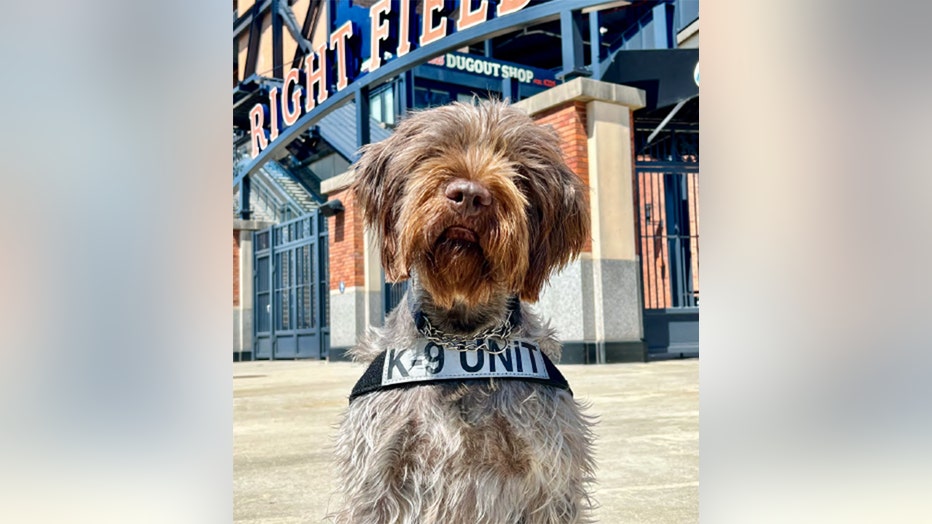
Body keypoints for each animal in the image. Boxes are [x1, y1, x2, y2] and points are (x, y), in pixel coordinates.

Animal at [334, 100, 592, 520]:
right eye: (433, 152)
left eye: (517, 167)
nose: (470, 195)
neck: (463, 338)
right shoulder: (377, 477)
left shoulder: (548, 480)